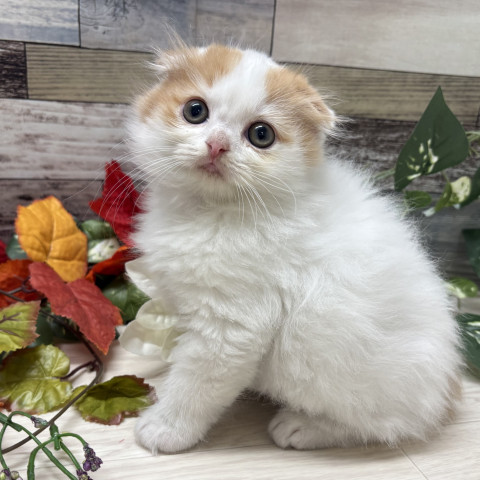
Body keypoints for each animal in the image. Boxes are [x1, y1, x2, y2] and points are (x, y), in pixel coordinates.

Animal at [125, 43, 462, 454]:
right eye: (195, 111)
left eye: (261, 135)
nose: (217, 144)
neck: (212, 212)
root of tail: (447, 386)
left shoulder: (232, 326)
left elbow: (196, 384)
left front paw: (166, 428)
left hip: (328, 360)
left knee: (384, 424)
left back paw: (302, 427)